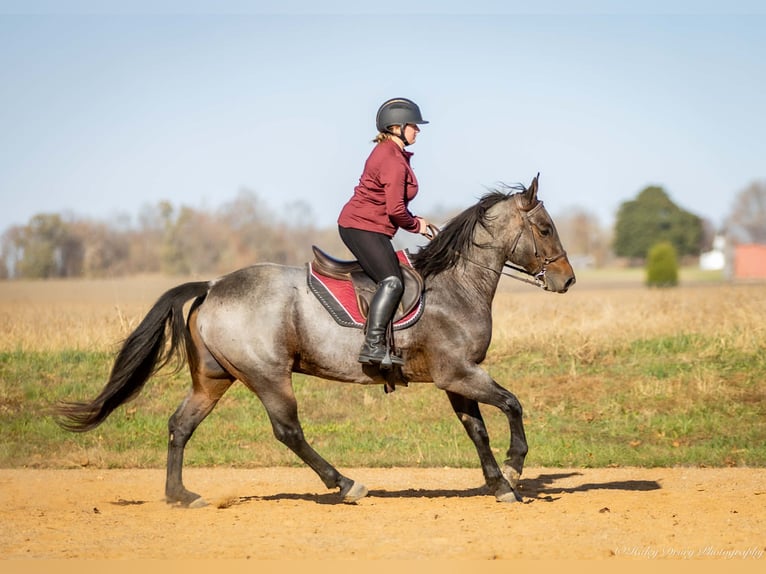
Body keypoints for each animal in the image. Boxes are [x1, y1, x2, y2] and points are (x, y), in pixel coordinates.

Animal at [56, 174, 575, 507]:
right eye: (545, 228)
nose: (567, 280)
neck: (457, 284)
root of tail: (213, 285)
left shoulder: (455, 380)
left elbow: (478, 430)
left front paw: (500, 485)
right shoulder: (462, 373)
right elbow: (512, 405)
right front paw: (515, 467)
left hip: (214, 379)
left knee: (180, 425)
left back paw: (181, 495)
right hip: (269, 376)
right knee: (288, 431)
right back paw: (345, 484)